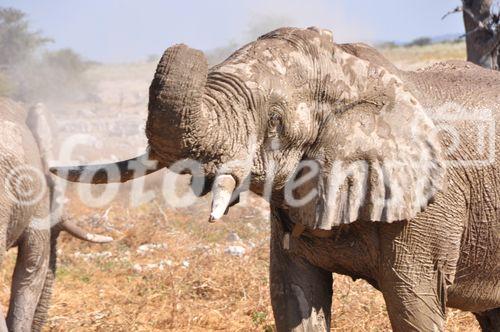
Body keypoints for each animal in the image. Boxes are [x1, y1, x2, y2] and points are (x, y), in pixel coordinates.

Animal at [51, 27, 500, 330]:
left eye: (276, 123)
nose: (188, 45)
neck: (355, 73)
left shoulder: (430, 208)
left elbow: (413, 303)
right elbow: (292, 295)